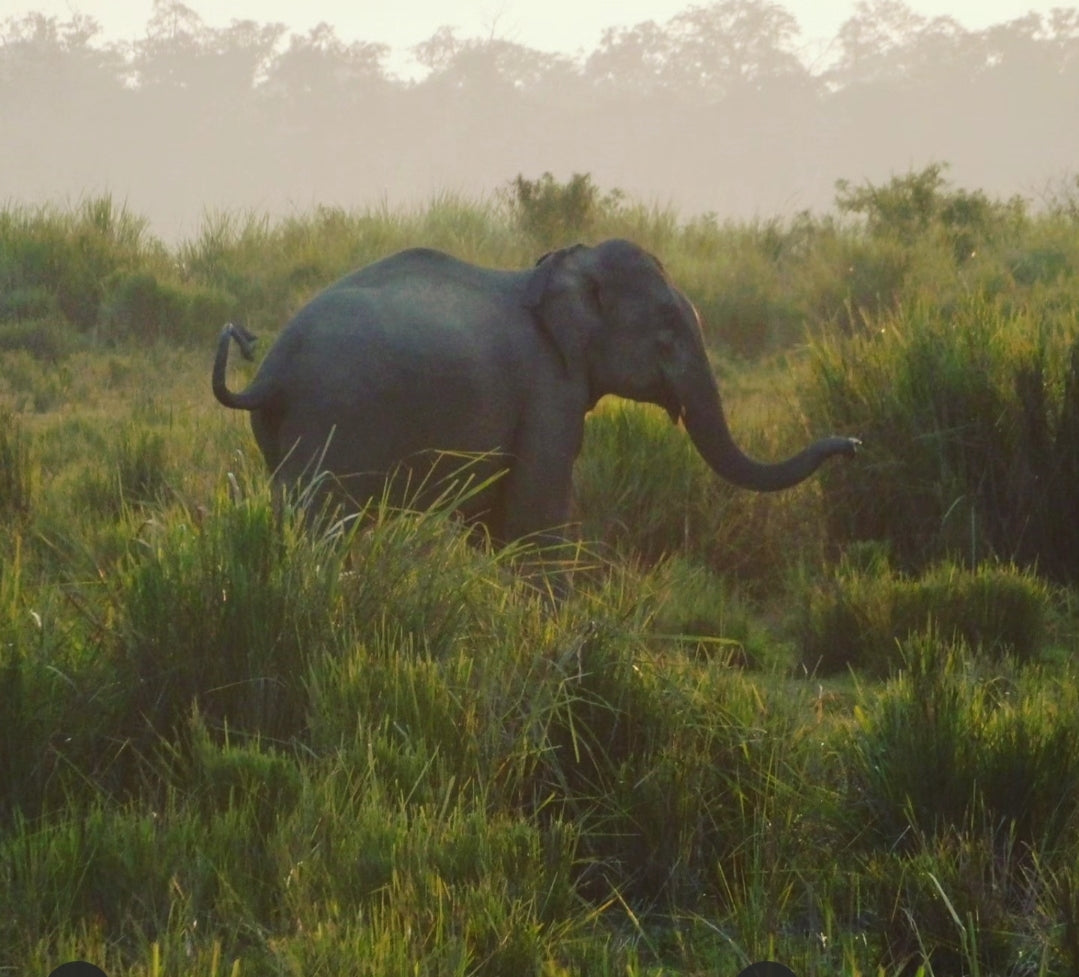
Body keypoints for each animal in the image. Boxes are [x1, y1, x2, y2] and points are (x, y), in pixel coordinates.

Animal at [212, 239, 859, 543]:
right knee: (321, 518)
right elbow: (534, 513)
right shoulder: (547, 387)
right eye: (668, 328)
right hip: (334, 423)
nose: (852, 444)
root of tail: (269, 369)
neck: (554, 267)